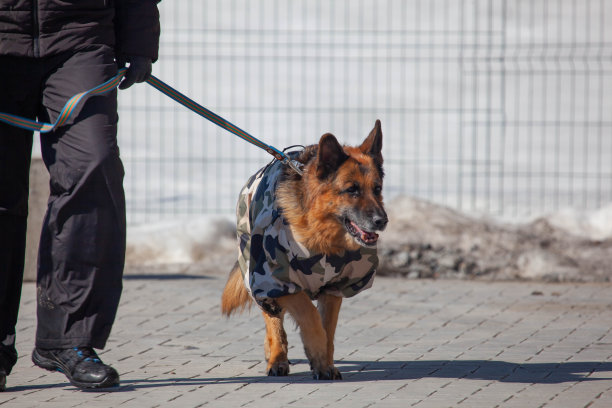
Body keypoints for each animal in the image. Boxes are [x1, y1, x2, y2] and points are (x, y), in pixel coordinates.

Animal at [221, 120, 388, 380]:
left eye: (377, 188)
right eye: (352, 190)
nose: (382, 221)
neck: (320, 235)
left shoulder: (334, 288)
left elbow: (327, 330)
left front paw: (324, 362)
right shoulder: (281, 283)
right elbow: (310, 317)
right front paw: (316, 355)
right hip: (258, 277)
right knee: (273, 321)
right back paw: (277, 358)